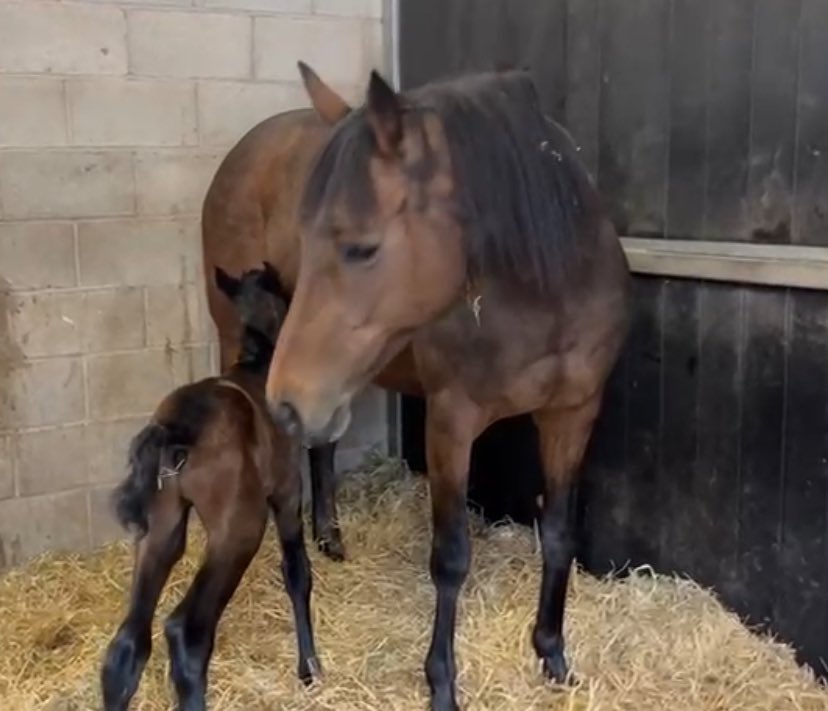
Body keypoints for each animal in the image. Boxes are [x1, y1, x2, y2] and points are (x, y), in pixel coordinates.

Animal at [98, 264, 316, 711]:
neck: (257, 362)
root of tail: (176, 428)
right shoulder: (288, 493)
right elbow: (297, 572)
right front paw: (308, 669)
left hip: (161, 528)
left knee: (128, 643)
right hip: (238, 530)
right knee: (187, 631)